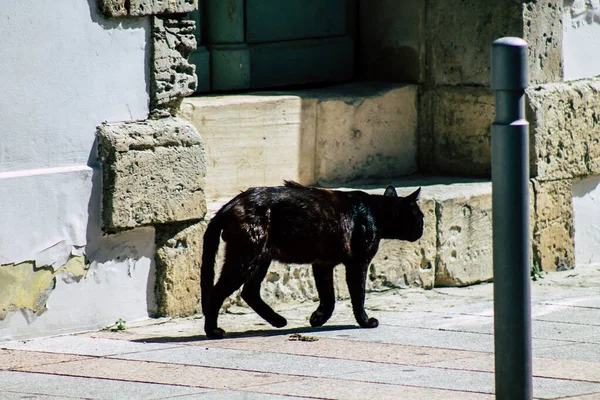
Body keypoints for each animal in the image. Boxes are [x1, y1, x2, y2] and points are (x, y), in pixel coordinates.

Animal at [200, 180, 422, 340]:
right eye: (420, 218)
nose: (422, 230)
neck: (377, 211)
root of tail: (229, 205)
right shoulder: (358, 263)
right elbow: (358, 295)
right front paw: (365, 322)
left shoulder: (323, 264)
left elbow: (328, 296)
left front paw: (318, 318)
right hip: (246, 257)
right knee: (218, 292)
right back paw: (213, 331)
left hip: (261, 259)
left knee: (249, 292)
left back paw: (278, 321)